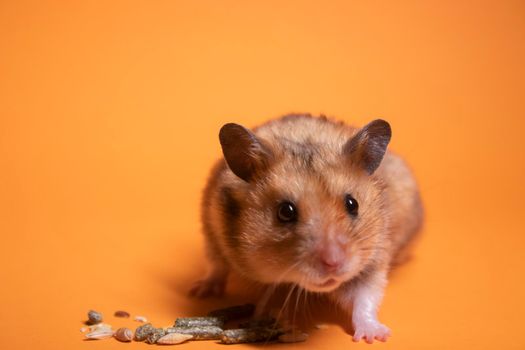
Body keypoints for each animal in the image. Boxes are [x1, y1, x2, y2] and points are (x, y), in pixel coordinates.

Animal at [191, 113, 422, 344]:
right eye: (285, 212)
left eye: (353, 204)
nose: (334, 264)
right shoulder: (212, 231)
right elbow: (217, 266)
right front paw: (200, 292)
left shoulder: (373, 258)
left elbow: (364, 297)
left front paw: (376, 337)